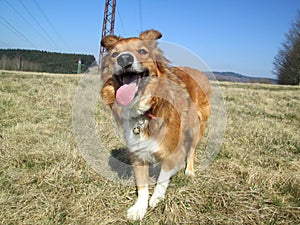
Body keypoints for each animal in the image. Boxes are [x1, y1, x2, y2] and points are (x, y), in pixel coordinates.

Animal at [99, 29, 210, 220]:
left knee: (192, 151)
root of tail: (196, 71)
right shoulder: (138, 153)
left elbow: (162, 178)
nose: (124, 59)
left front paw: (156, 199)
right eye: (114, 54)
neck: (145, 110)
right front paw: (139, 208)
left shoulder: (172, 150)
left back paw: (189, 171)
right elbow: (142, 186)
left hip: (196, 128)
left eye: (143, 51)